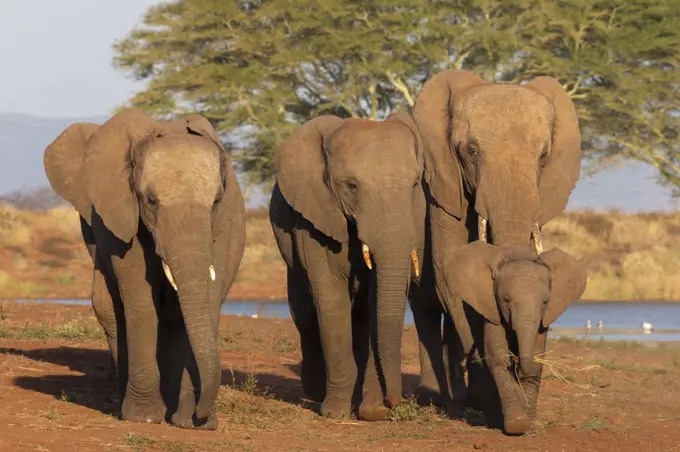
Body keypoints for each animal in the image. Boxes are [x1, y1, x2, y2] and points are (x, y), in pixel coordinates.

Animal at [43, 108, 244, 428]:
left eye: (215, 201)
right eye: (150, 201)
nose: (201, 416)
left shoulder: (224, 226)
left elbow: (209, 300)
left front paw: (191, 422)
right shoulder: (122, 220)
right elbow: (140, 300)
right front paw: (145, 418)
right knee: (112, 308)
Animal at [270, 112, 424, 420]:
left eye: (415, 185)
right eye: (351, 186)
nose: (392, 402)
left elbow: (377, 304)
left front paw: (371, 412)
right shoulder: (313, 218)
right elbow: (330, 299)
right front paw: (335, 413)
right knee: (305, 312)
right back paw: (316, 391)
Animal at [412, 69, 580, 414]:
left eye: (543, 156)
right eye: (471, 151)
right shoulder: (441, 186)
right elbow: (450, 267)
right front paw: (489, 395)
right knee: (425, 306)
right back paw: (435, 397)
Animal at [444, 240, 588, 434]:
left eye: (545, 302)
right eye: (505, 301)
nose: (518, 360)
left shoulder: (543, 318)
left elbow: (537, 353)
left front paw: (527, 420)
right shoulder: (491, 306)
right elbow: (497, 354)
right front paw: (517, 423)